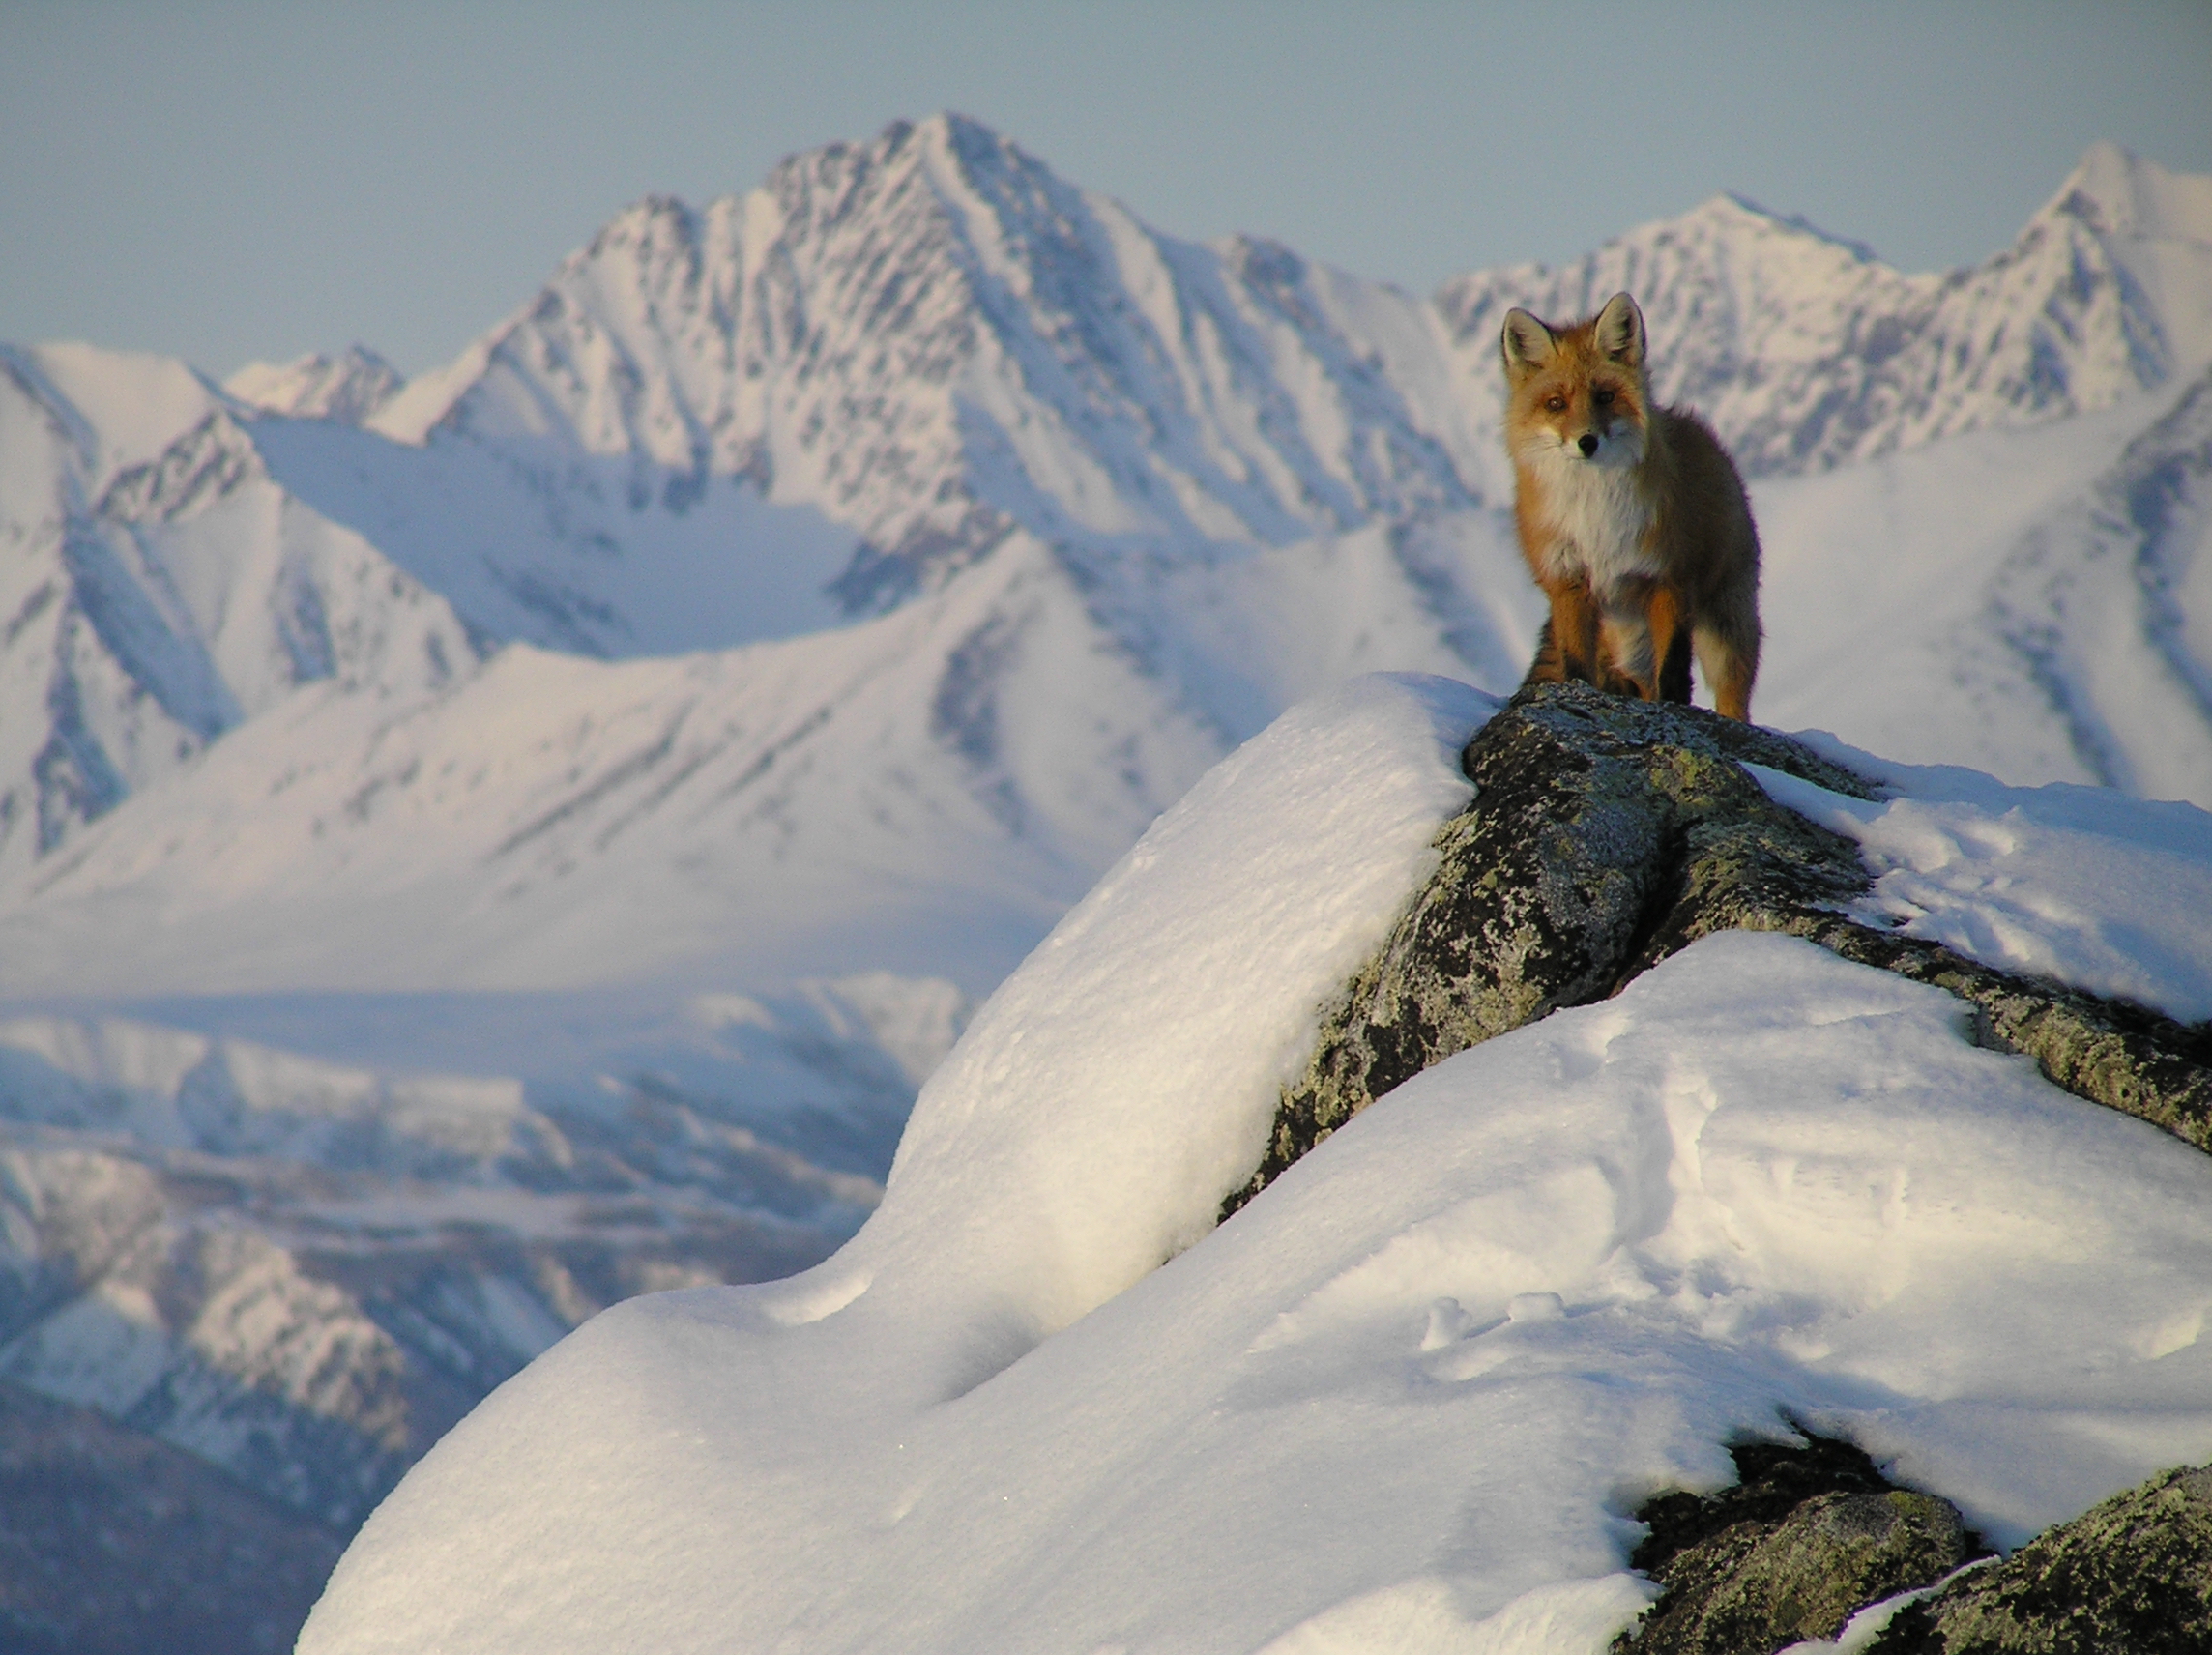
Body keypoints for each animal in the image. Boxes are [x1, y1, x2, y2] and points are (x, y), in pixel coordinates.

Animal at [1500, 290, 1761, 721]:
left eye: (1605, 397)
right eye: (1556, 403)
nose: (1586, 442)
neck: (1595, 514)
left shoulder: (1669, 578)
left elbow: (1674, 673)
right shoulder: (1568, 581)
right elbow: (1575, 666)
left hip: (1725, 631)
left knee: (1730, 696)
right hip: (1626, 641)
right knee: (1639, 683)